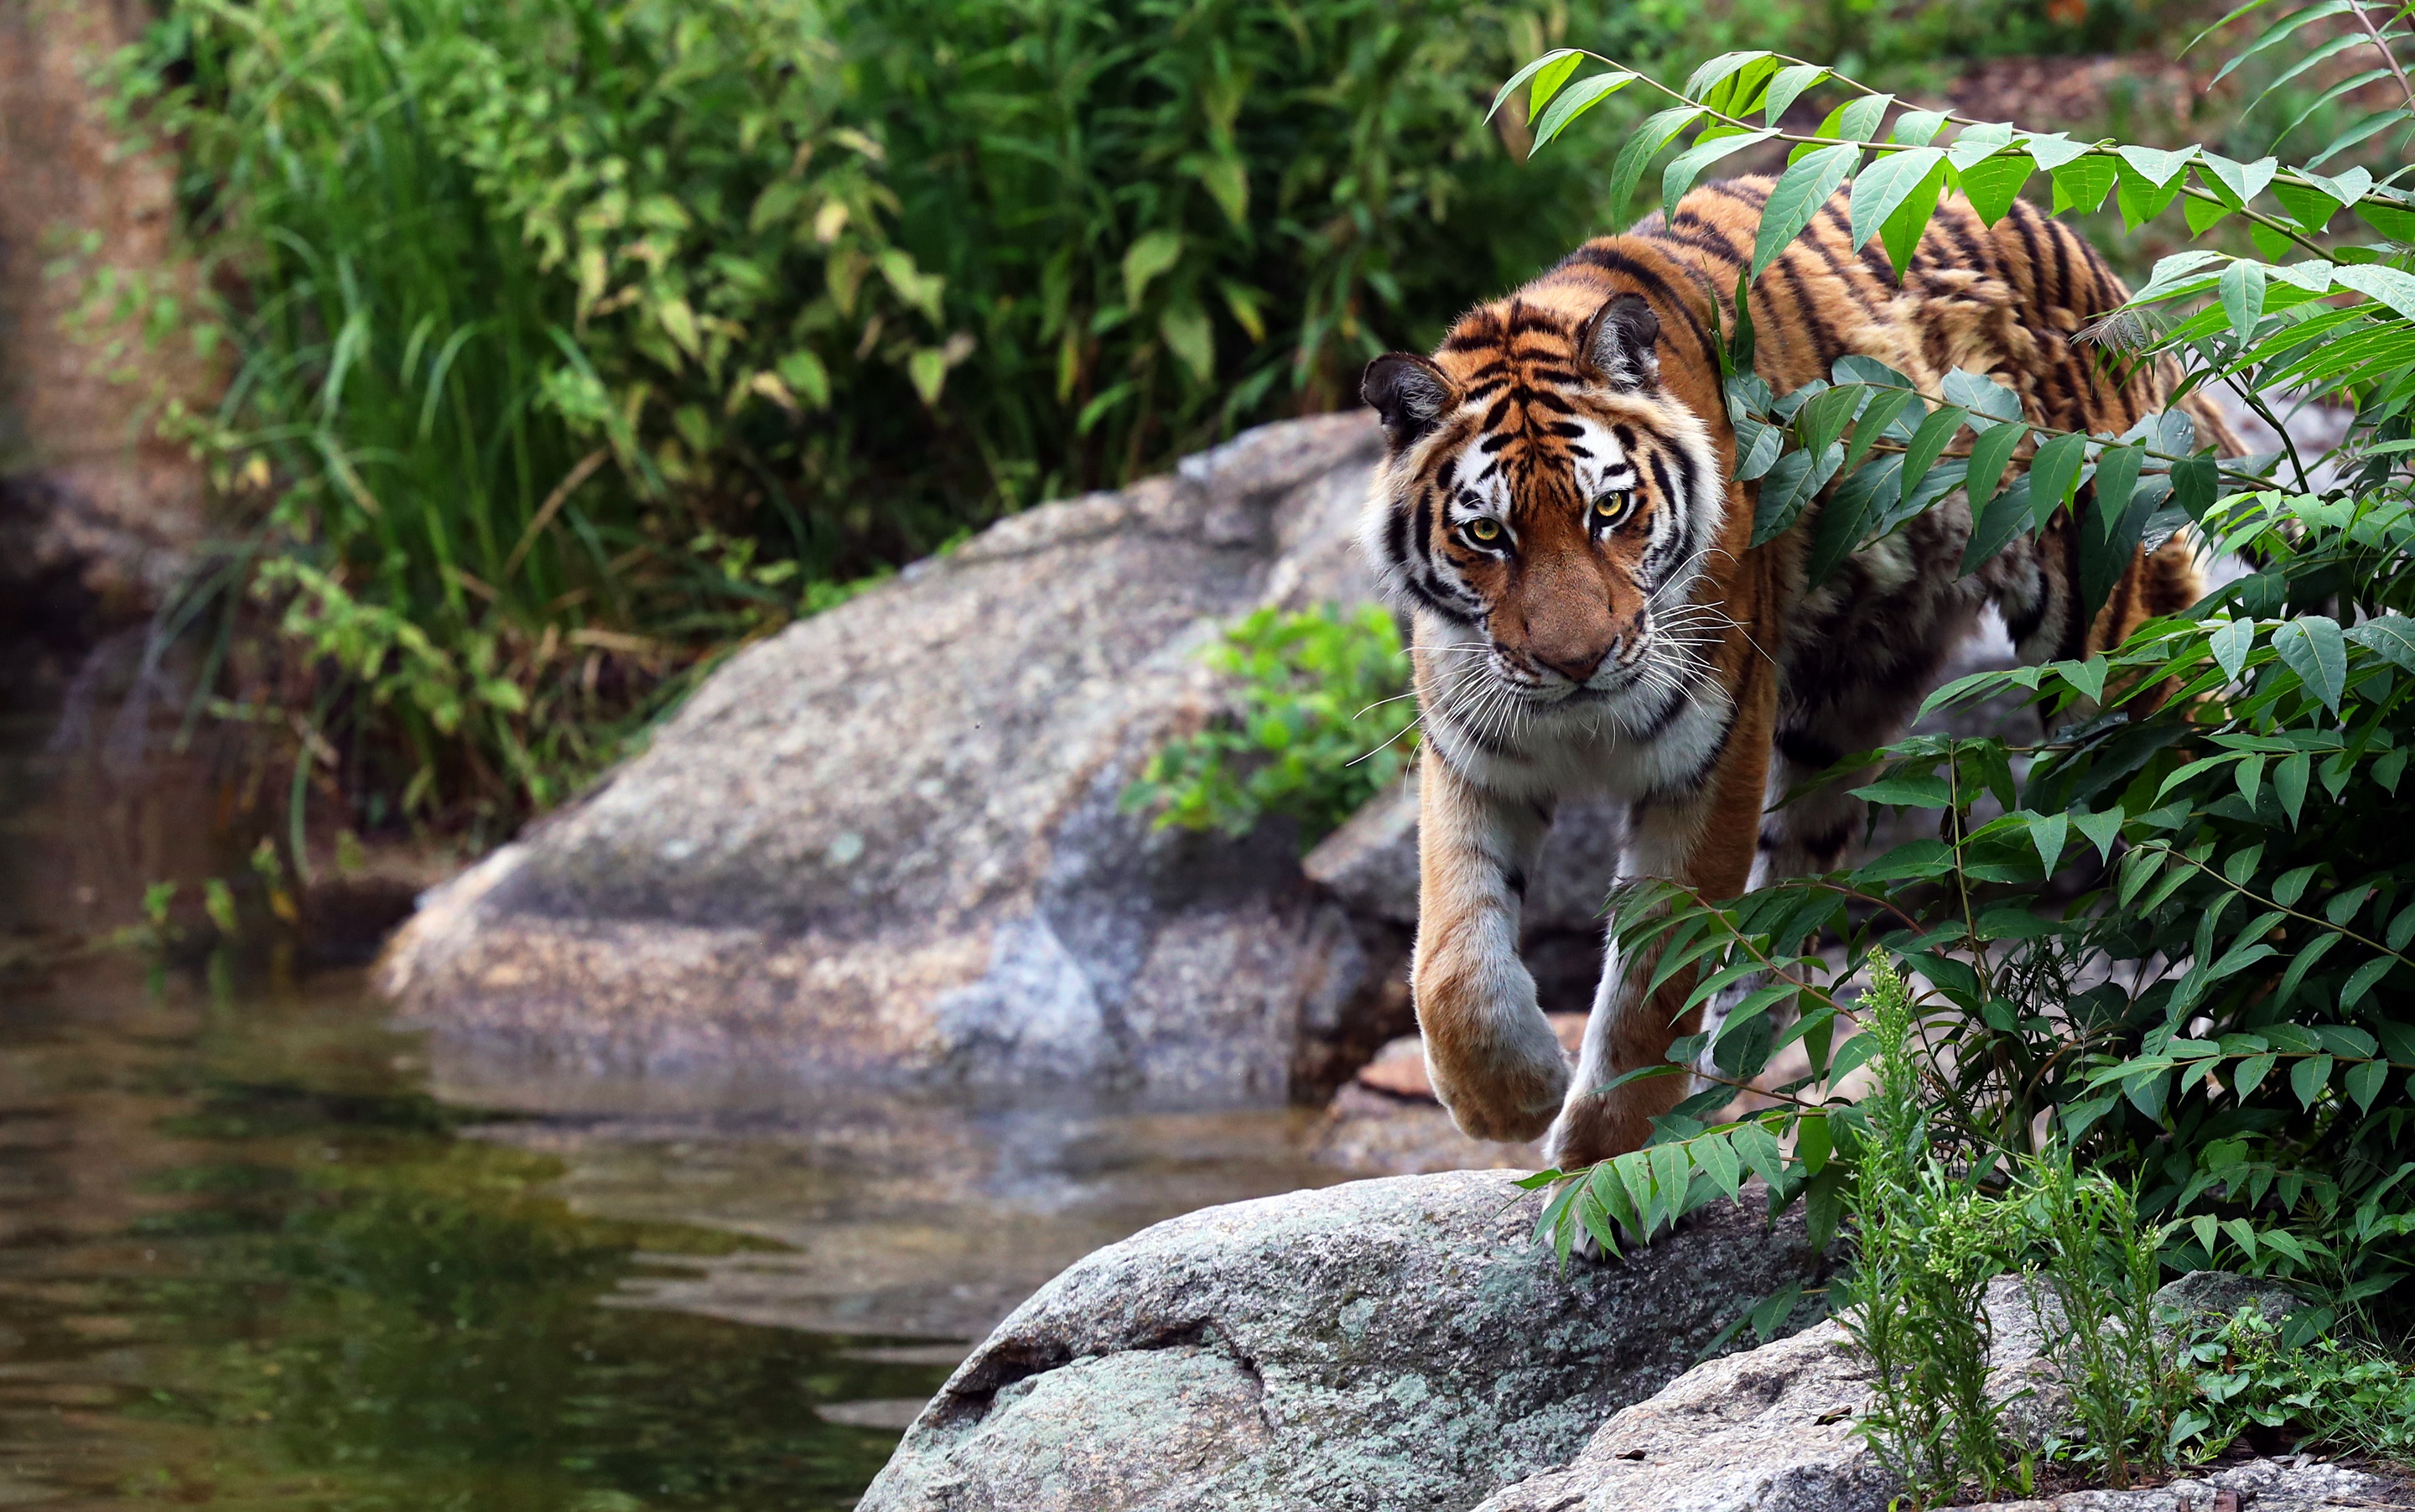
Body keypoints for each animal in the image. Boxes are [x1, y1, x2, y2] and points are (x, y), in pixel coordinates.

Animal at [1352, 176, 2231, 1164]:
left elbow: (1655, 977)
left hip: (2104, 645)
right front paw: (1508, 1097)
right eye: (1486, 533)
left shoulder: (1707, 754)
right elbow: (1449, 953)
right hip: (1842, 708)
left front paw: (1605, 1157)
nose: (1576, 663)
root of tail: (2093, 263)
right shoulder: (1473, 751)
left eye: (1608, 509)